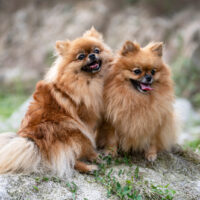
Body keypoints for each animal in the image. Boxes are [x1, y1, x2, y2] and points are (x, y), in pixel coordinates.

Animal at [0, 27, 112, 176]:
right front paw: (95, 154)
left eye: (97, 50)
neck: (88, 80)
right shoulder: (86, 121)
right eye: (81, 56)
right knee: (70, 160)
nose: (92, 55)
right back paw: (90, 166)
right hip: (73, 131)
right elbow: (90, 140)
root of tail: (33, 142)